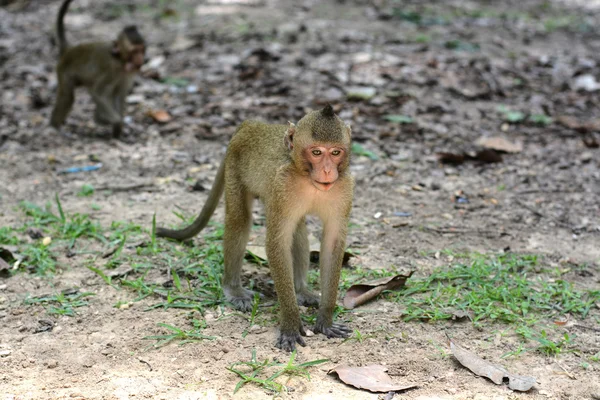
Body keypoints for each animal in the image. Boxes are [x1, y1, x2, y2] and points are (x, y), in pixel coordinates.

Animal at [49, 0, 145, 138]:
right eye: (134, 51)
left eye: (141, 50)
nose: (140, 59)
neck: (120, 61)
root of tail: (69, 50)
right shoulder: (111, 70)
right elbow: (98, 93)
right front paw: (111, 121)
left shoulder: (128, 74)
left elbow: (119, 95)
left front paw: (117, 130)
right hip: (63, 69)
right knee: (68, 97)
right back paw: (54, 126)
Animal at [159, 104, 354, 352]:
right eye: (317, 152)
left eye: (336, 152)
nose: (328, 171)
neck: (307, 178)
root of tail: (251, 124)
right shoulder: (282, 186)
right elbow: (276, 244)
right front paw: (290, 324)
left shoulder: (344, 187)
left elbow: (331, 244)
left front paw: (325, 320)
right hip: (234, 167)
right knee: (239, 220)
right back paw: (233, 289)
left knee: (298, 229)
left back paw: (300, 290)